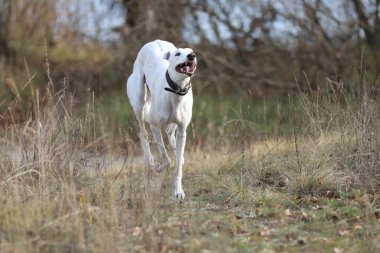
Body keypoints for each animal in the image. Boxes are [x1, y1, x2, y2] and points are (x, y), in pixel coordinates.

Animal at [126, 40, 197, 200]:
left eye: (191, 52)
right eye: (178, 54)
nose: (191, 56)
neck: (176, 91)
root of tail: (153, 42)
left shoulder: (182, 130)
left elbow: (177, 166)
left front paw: (178, 192)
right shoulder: (154, 126)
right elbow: (166, 157)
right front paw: (158, 168)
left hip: (173, 126)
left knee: (170, 133)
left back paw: (177, 151)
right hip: (139, 103)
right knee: (143, 133)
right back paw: (150, 160)